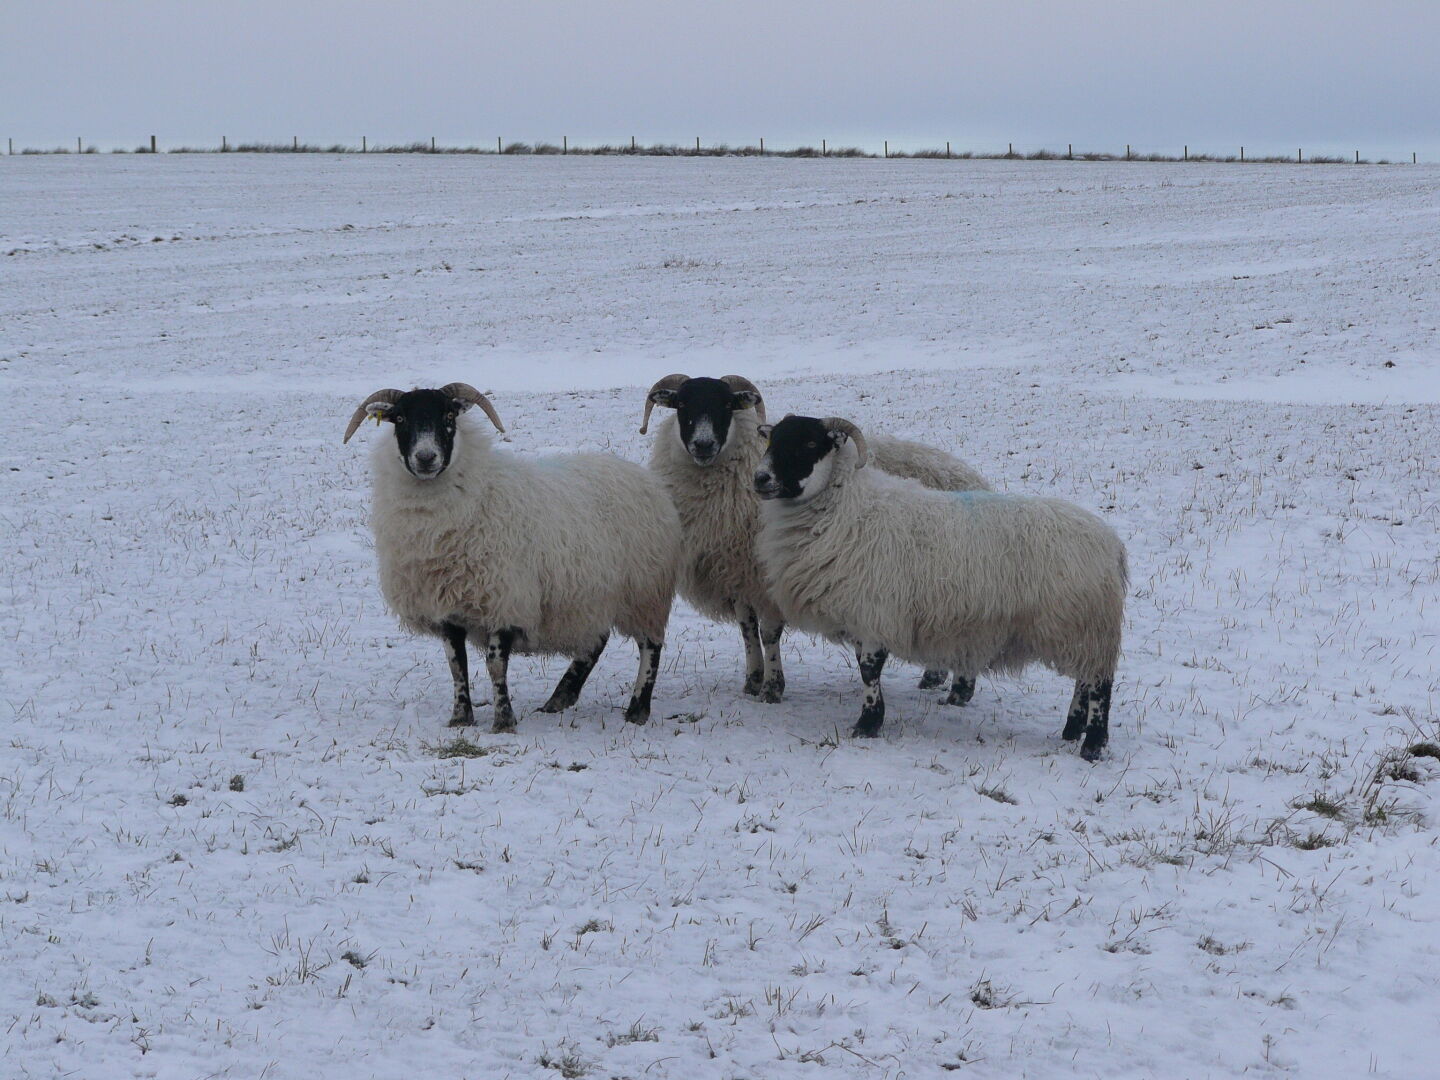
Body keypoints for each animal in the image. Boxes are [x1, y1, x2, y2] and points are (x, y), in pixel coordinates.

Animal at [344, 383, 682, 733]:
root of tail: (647, 479)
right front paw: (461, 717)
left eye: (449, 416)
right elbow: (456, 665)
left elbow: (495, 665)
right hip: (591, 592)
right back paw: (560, 698)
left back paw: (637, 709)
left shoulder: (504, 598)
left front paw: (504, 721)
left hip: (645, 590)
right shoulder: (448, 606)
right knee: (596, 640)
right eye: (399, 418)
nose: (426, 458)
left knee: (650, 646)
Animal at [640, 374, 991, 702]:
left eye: (726, 405)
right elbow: (747, 631)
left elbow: (769, 633)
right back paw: (934, 678)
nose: (703, 445)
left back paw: (957, 690)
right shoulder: (738, 573)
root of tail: (968, 475)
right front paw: (752, 681)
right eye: (682, 404)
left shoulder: (766, 578)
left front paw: (772, 687)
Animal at [753, 414, 1127, 761]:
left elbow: (869, 670)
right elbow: (865, 667)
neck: (847, 508)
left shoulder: (876, 610)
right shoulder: (862, 613)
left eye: (809, 443)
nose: (760, 479)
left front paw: (868, 724)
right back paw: (1072, 729)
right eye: (772, 439)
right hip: (1082, 629)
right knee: (1084, 680)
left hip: (1084, 625)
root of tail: (1112, 543)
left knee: (1099, 684)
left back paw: (1092, 744)